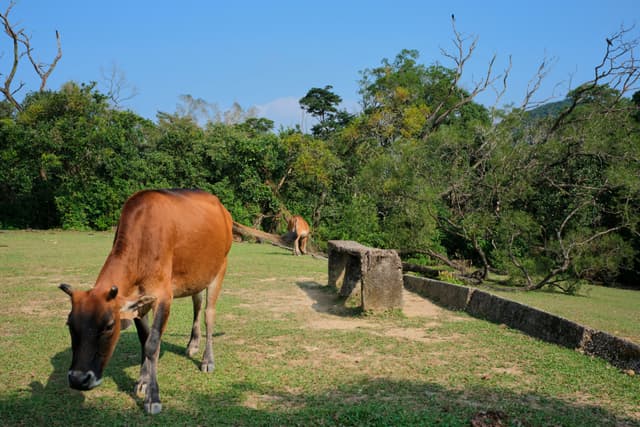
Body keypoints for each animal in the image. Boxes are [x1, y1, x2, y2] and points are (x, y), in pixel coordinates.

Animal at [59, 189, 233, 414]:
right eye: (69, 324)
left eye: (109, 326)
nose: (79, 379)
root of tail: (222, 209)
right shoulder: (138, 301)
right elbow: (144, 339)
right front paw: (142, 381)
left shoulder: (163, 296)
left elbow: (152, 344)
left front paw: (153, 397)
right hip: (196, 276)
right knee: (197, 302)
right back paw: (192, 344)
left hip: (219, 269)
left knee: (208, 314)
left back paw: (207, 360)